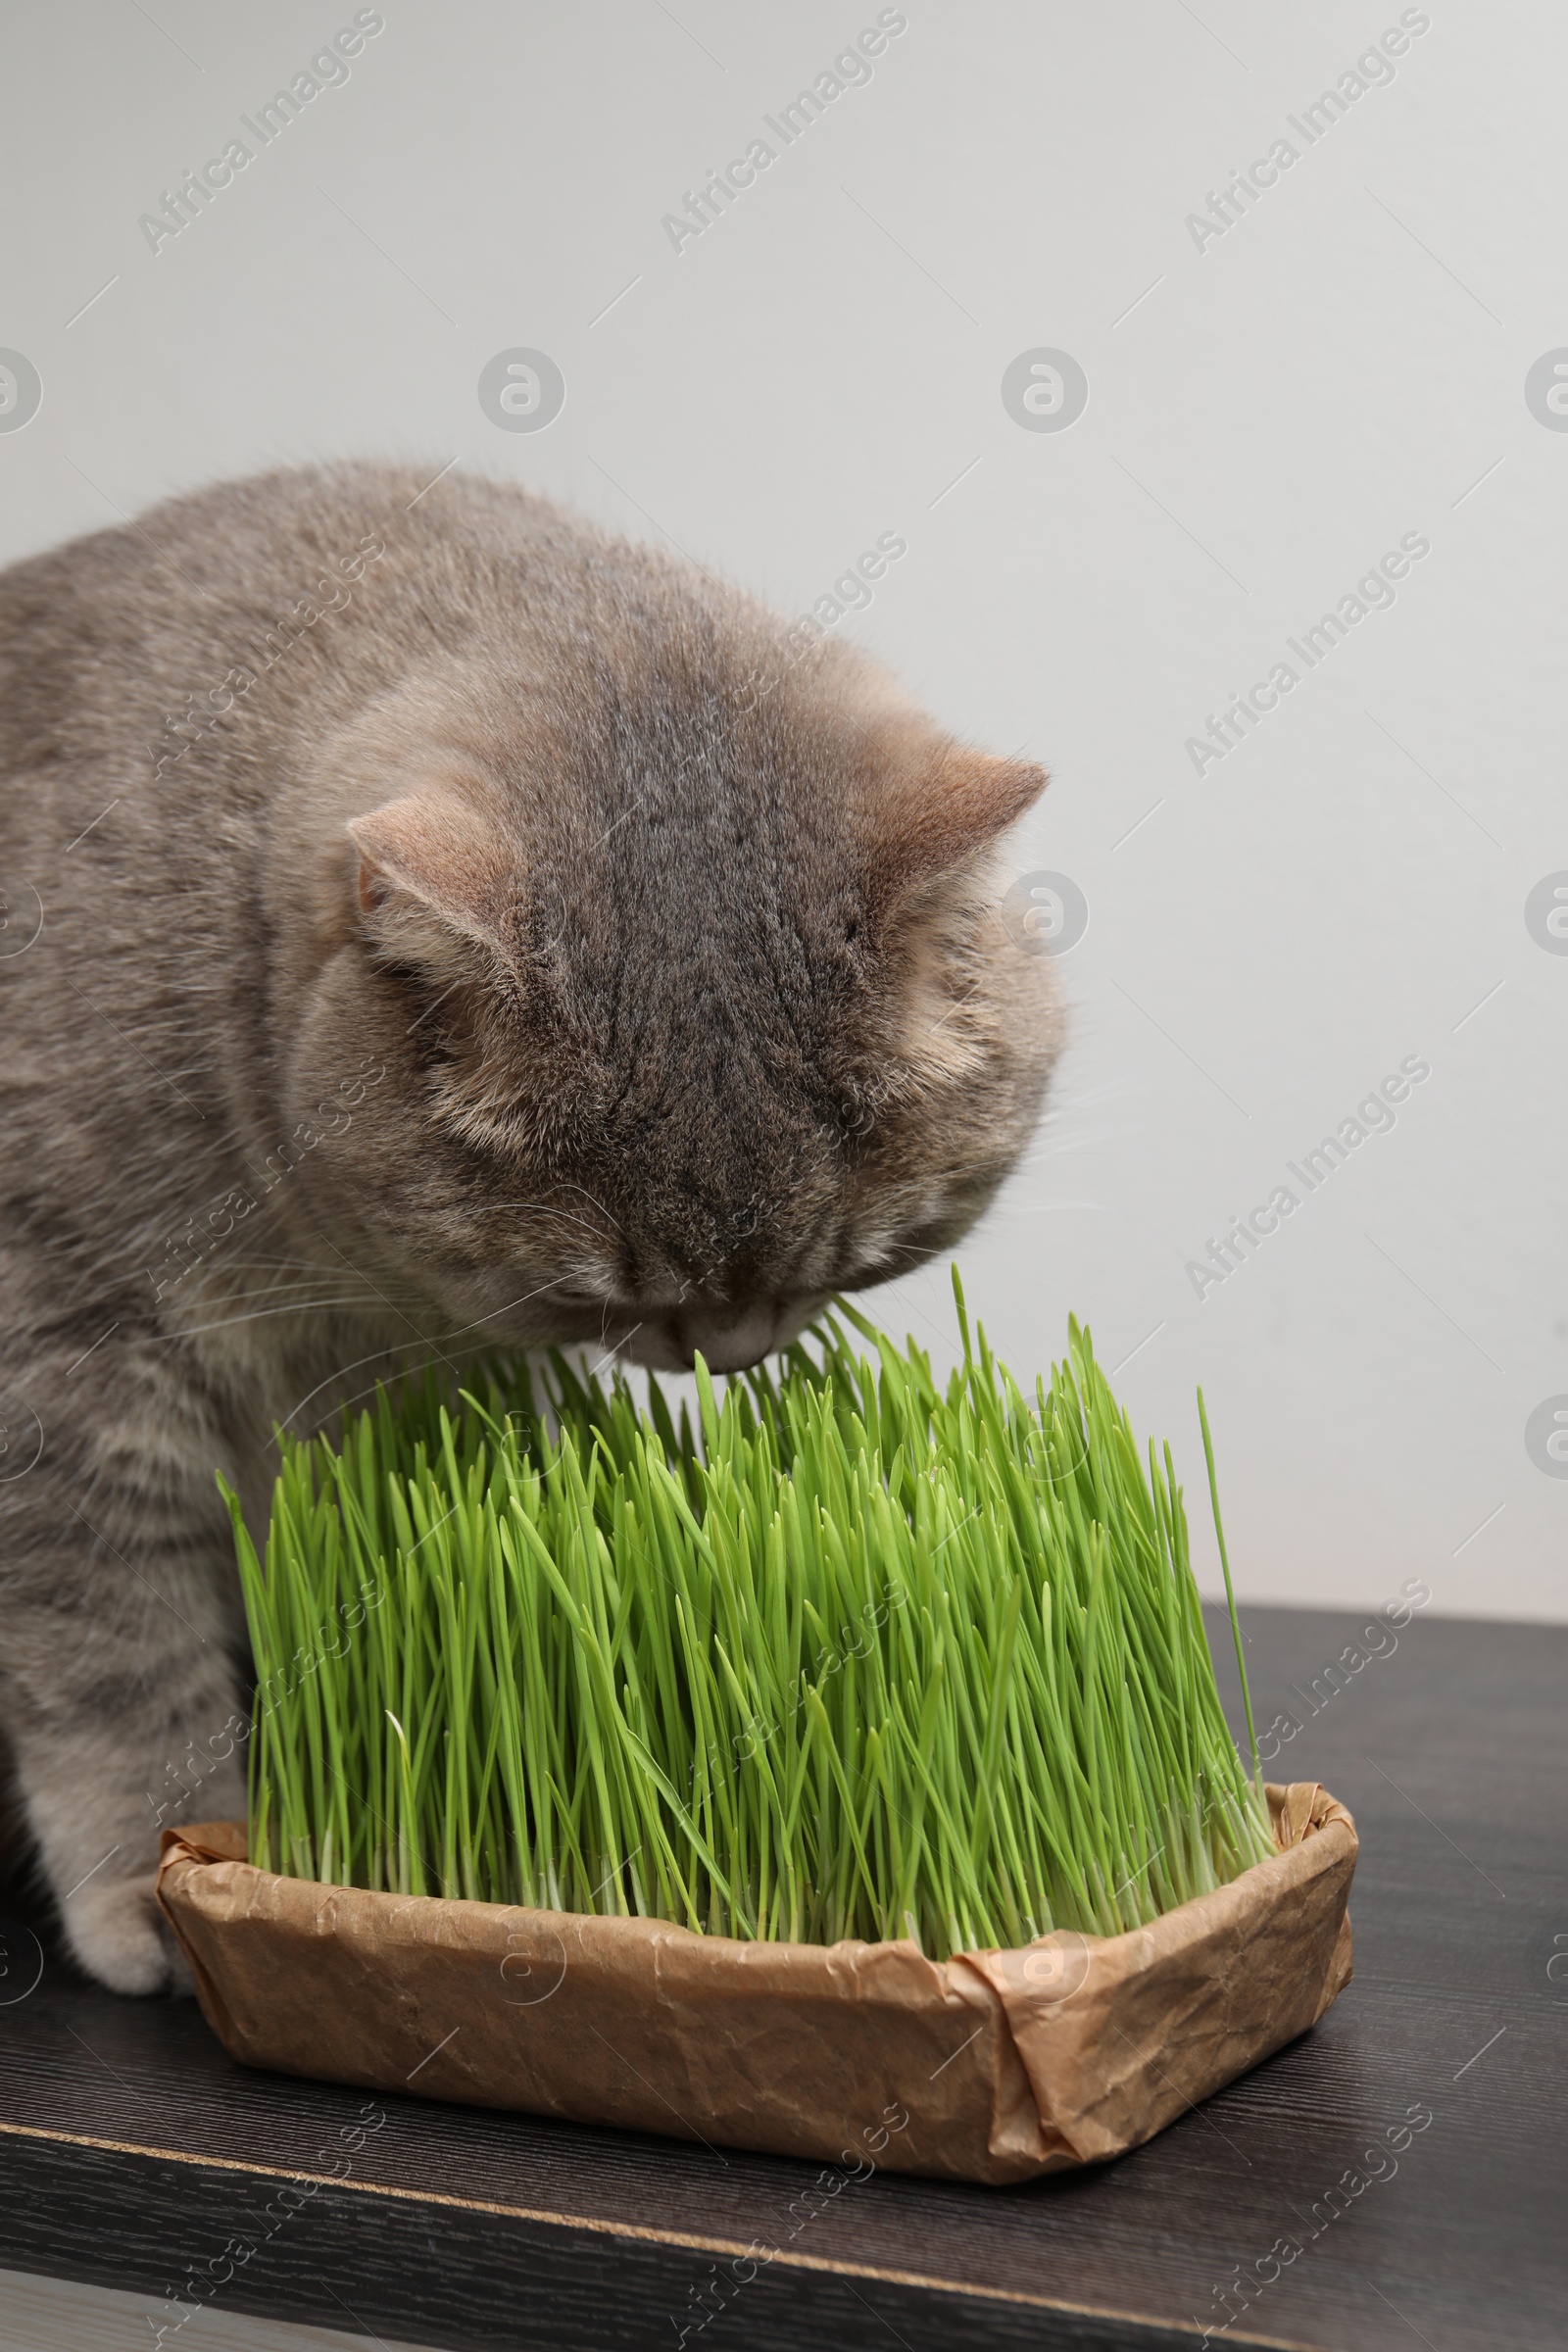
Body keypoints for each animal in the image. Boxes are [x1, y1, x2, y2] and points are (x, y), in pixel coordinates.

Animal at [0, 463, 1067, 2003]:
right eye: (593, 1295)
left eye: (863, 1256)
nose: (731, 1350)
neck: (327, 1275)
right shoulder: (61, 1350)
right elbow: (114, 1649)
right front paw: (164, 1870)